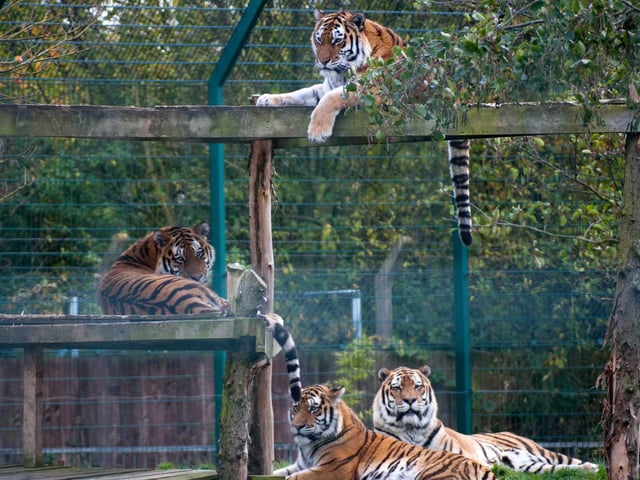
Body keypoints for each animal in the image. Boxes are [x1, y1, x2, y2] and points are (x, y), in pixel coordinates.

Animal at [256, 10, 472, 246]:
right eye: (319, 39)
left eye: (337, 40)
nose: (322, 61)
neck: (340, 72)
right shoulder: (323, 88)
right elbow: (300, 93)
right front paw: (266, 98)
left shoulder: (373, 89)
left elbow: (334, 97)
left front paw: (317, 131)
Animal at [274, 383, 496, 480]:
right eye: (296, 408)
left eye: (313, 408)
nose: (297, 426)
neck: (308, 446)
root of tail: (485, 468)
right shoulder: (299, 465)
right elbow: (277, 472)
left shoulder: (333, 469)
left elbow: (291, 479)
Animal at [373, 365, 599, 473]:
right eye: (397, 388)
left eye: (417, 386)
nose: (410, 400)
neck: (412, 429)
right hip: (529, 465)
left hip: (542, 452)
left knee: (569, 461)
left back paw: (593, 467)